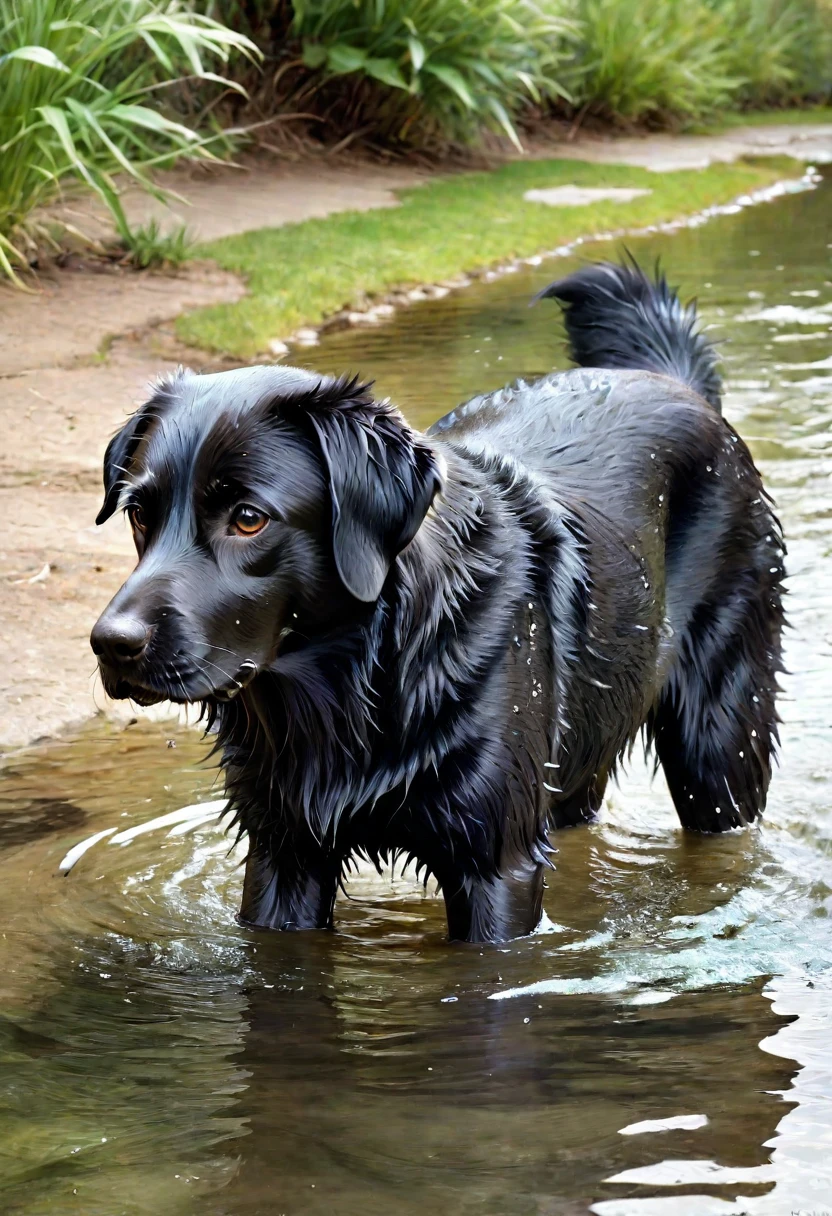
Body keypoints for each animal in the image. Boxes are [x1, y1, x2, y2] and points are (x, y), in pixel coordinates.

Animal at [92, 261, 788, 943]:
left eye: (247, 518)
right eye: (138, 514)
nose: (111, 644)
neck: (352, 683)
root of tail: (669, 379)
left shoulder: (497, 865)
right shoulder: (282, 854)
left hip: (718, 747)